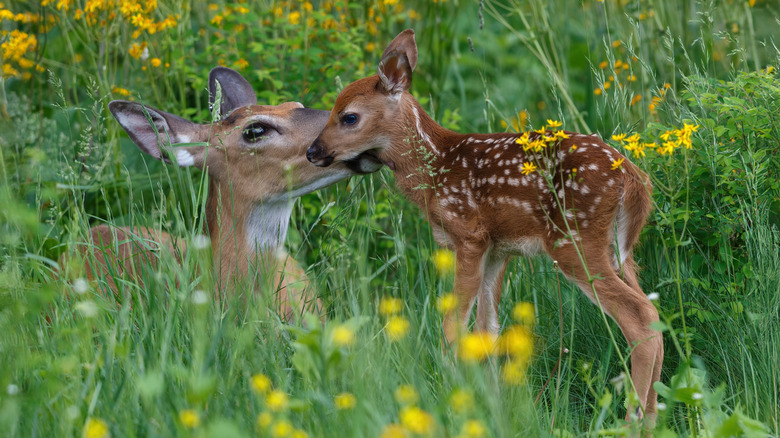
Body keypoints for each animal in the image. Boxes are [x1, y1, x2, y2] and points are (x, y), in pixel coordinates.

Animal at [306, 29, 662, 421]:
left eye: (349, 117)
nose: (312, 152)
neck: (435, 169)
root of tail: (632, 177)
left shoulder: (469, 234)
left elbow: (453, 325)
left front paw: (451, 394)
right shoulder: (498, 248)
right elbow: (487, 330)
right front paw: (492, 407)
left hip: (576, 240)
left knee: (640, 315)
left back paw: (632, 420)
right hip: (620, 250)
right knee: (654, 313)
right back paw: (654, 417)